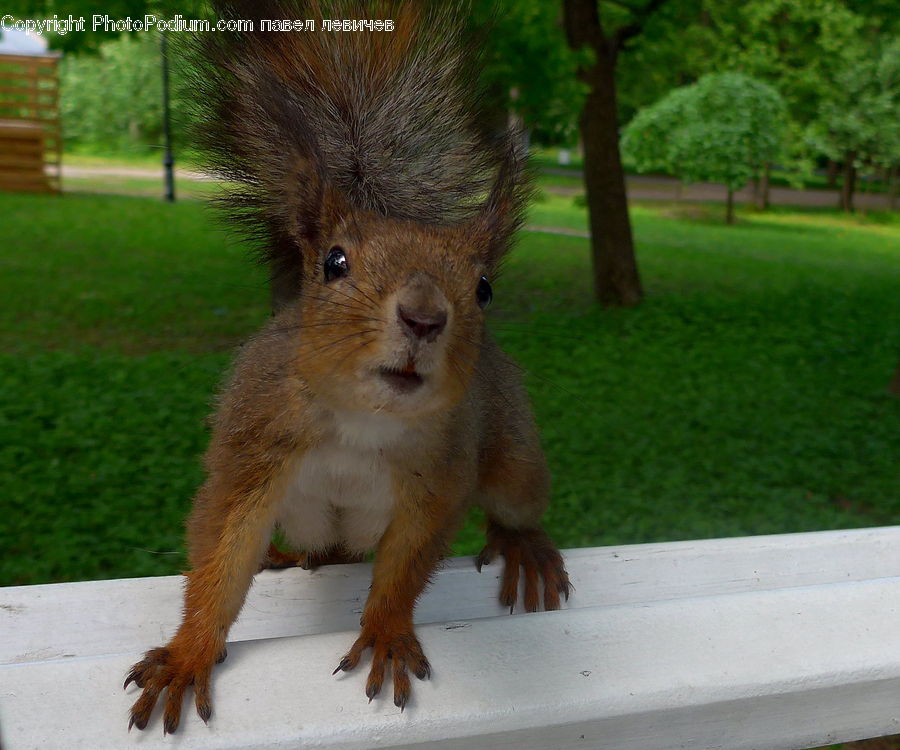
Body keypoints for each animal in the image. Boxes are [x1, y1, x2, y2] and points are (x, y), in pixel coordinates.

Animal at [125, 0, 568, 732]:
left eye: (483, 288)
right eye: (334, 263)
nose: (424, 317)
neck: (364, 418)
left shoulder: (440, 475)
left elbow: (405, 567)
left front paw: (386, 630)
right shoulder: (252, 449)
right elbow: (220, 555)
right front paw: (189, 652)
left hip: (513, 451)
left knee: (515, 500)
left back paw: (523, 543)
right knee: (310, 550)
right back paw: (287, 554)